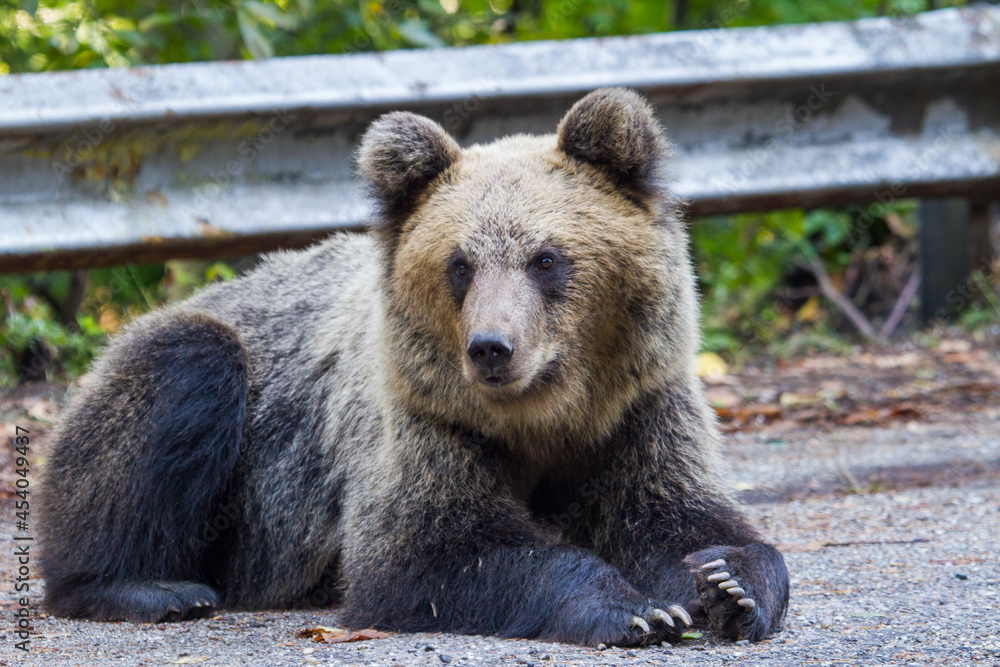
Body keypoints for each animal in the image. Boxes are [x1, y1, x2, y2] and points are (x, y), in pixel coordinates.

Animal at [38, 88, 789, 647]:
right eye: (460, 264)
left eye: (546, 258)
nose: (491, 347)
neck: (544, 414)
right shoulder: (424, 419)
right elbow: (430, 549)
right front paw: (633, 608)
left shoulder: (637, 409)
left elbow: (677, 513)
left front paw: (729, 583)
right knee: (181, 375)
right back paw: (148, 586)